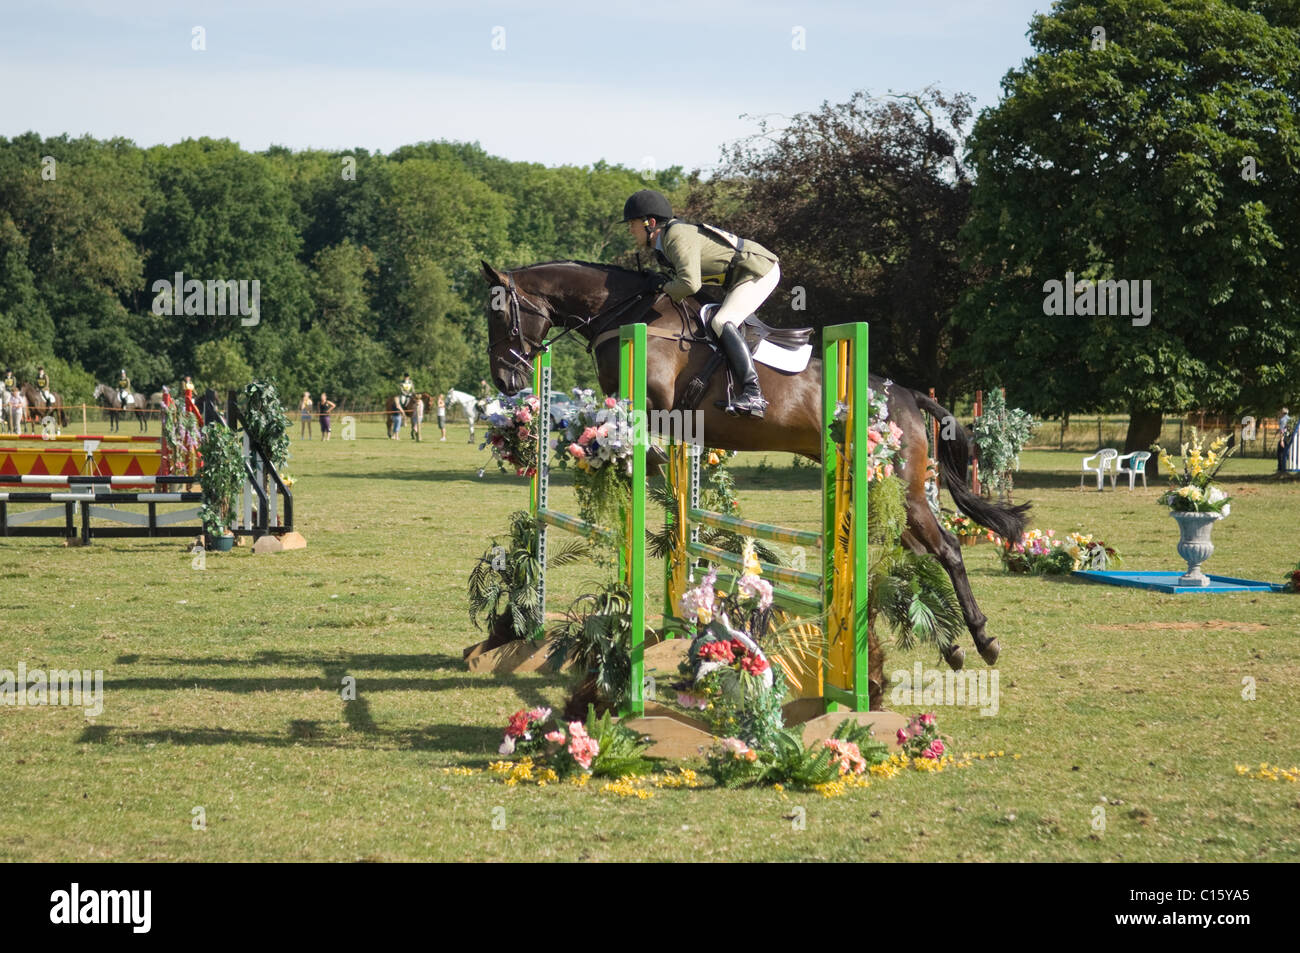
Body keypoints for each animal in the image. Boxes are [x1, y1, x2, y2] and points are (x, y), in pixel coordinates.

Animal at [483, 256, 1029, 665]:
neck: (625, 312)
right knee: (916, 551)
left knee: (947, 550)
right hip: (879, 490)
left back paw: (983, 640)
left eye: (498, 314)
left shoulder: (657, 403)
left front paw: (641, 464)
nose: (508, 382)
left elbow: (622, 429)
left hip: (901, 486)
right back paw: (952, 646)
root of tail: (909, 396)